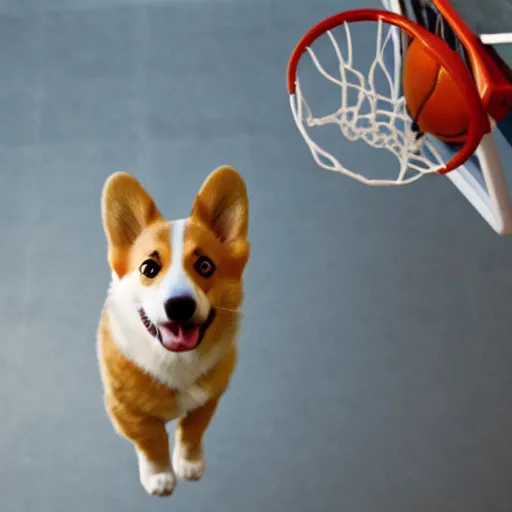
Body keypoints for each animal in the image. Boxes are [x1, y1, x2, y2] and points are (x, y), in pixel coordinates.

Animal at [96, 167, 250, 496]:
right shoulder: (128, 414)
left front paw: (189, 465)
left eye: (205, 265)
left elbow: (192, 431)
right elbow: (152, 441)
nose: (179, 305)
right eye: (149, 268)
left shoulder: (209, 400)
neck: (176, 362)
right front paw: (160, 478)